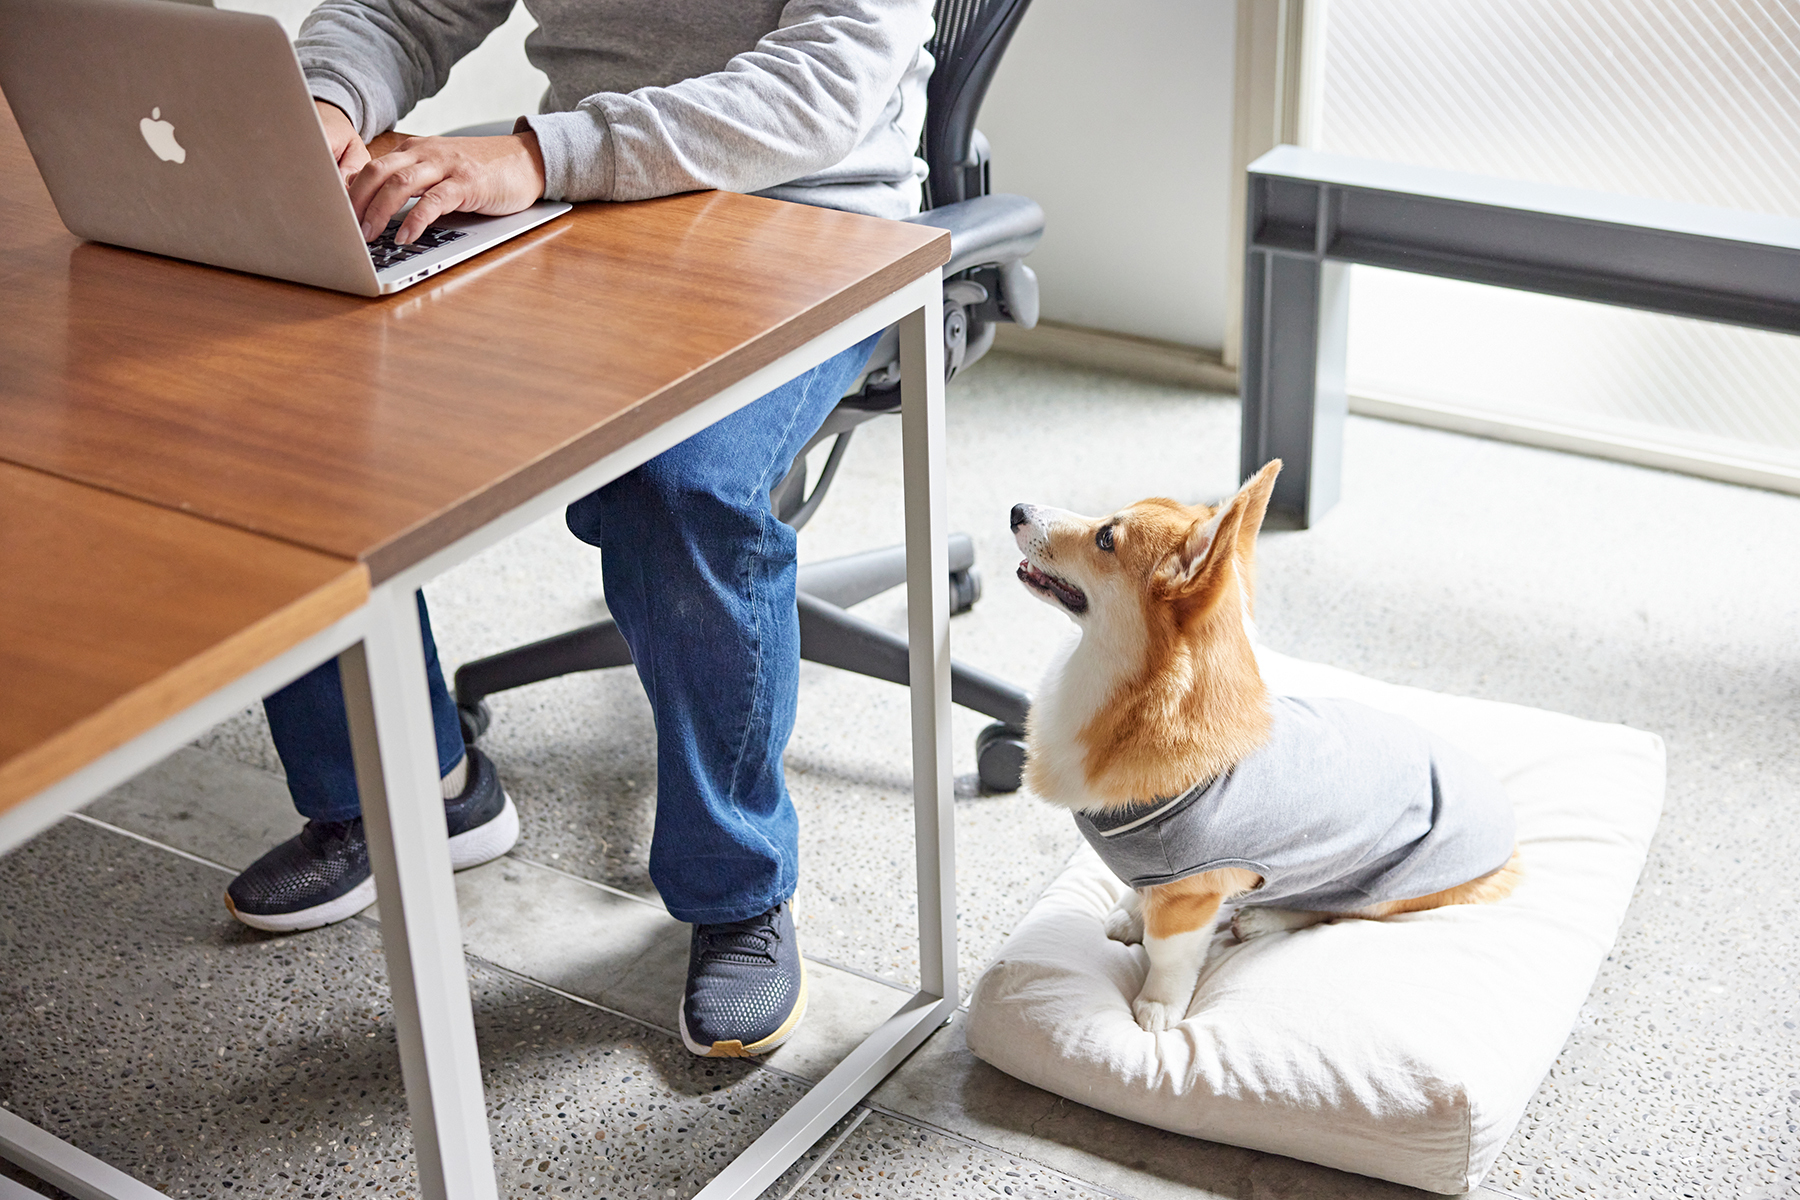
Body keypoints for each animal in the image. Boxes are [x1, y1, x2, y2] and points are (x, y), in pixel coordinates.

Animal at [1015, 460, 1519, 1036]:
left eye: (1105, 538)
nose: (1016, 510)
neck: (1137, 695)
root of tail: (1509, 840)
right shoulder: (1158, 873)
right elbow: (1141, 893)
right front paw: (1129, 912)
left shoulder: (1191, 892)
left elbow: (1168, 954)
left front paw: (1157, 1008)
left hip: (1382, 887)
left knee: (1334, 908)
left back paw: (1261, 918)